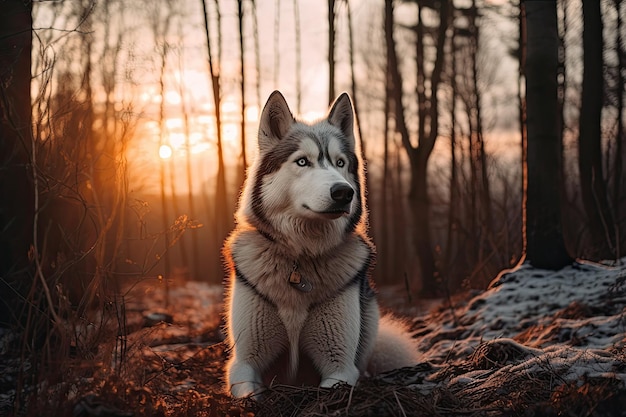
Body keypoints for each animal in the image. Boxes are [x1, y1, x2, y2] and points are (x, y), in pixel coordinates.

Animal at [222, 91, 416, 396]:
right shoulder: (243, 364)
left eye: (340, 163)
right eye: (303, 162)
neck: (301, 257)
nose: (344, 193)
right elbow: (249, 391)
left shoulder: (339, 368)